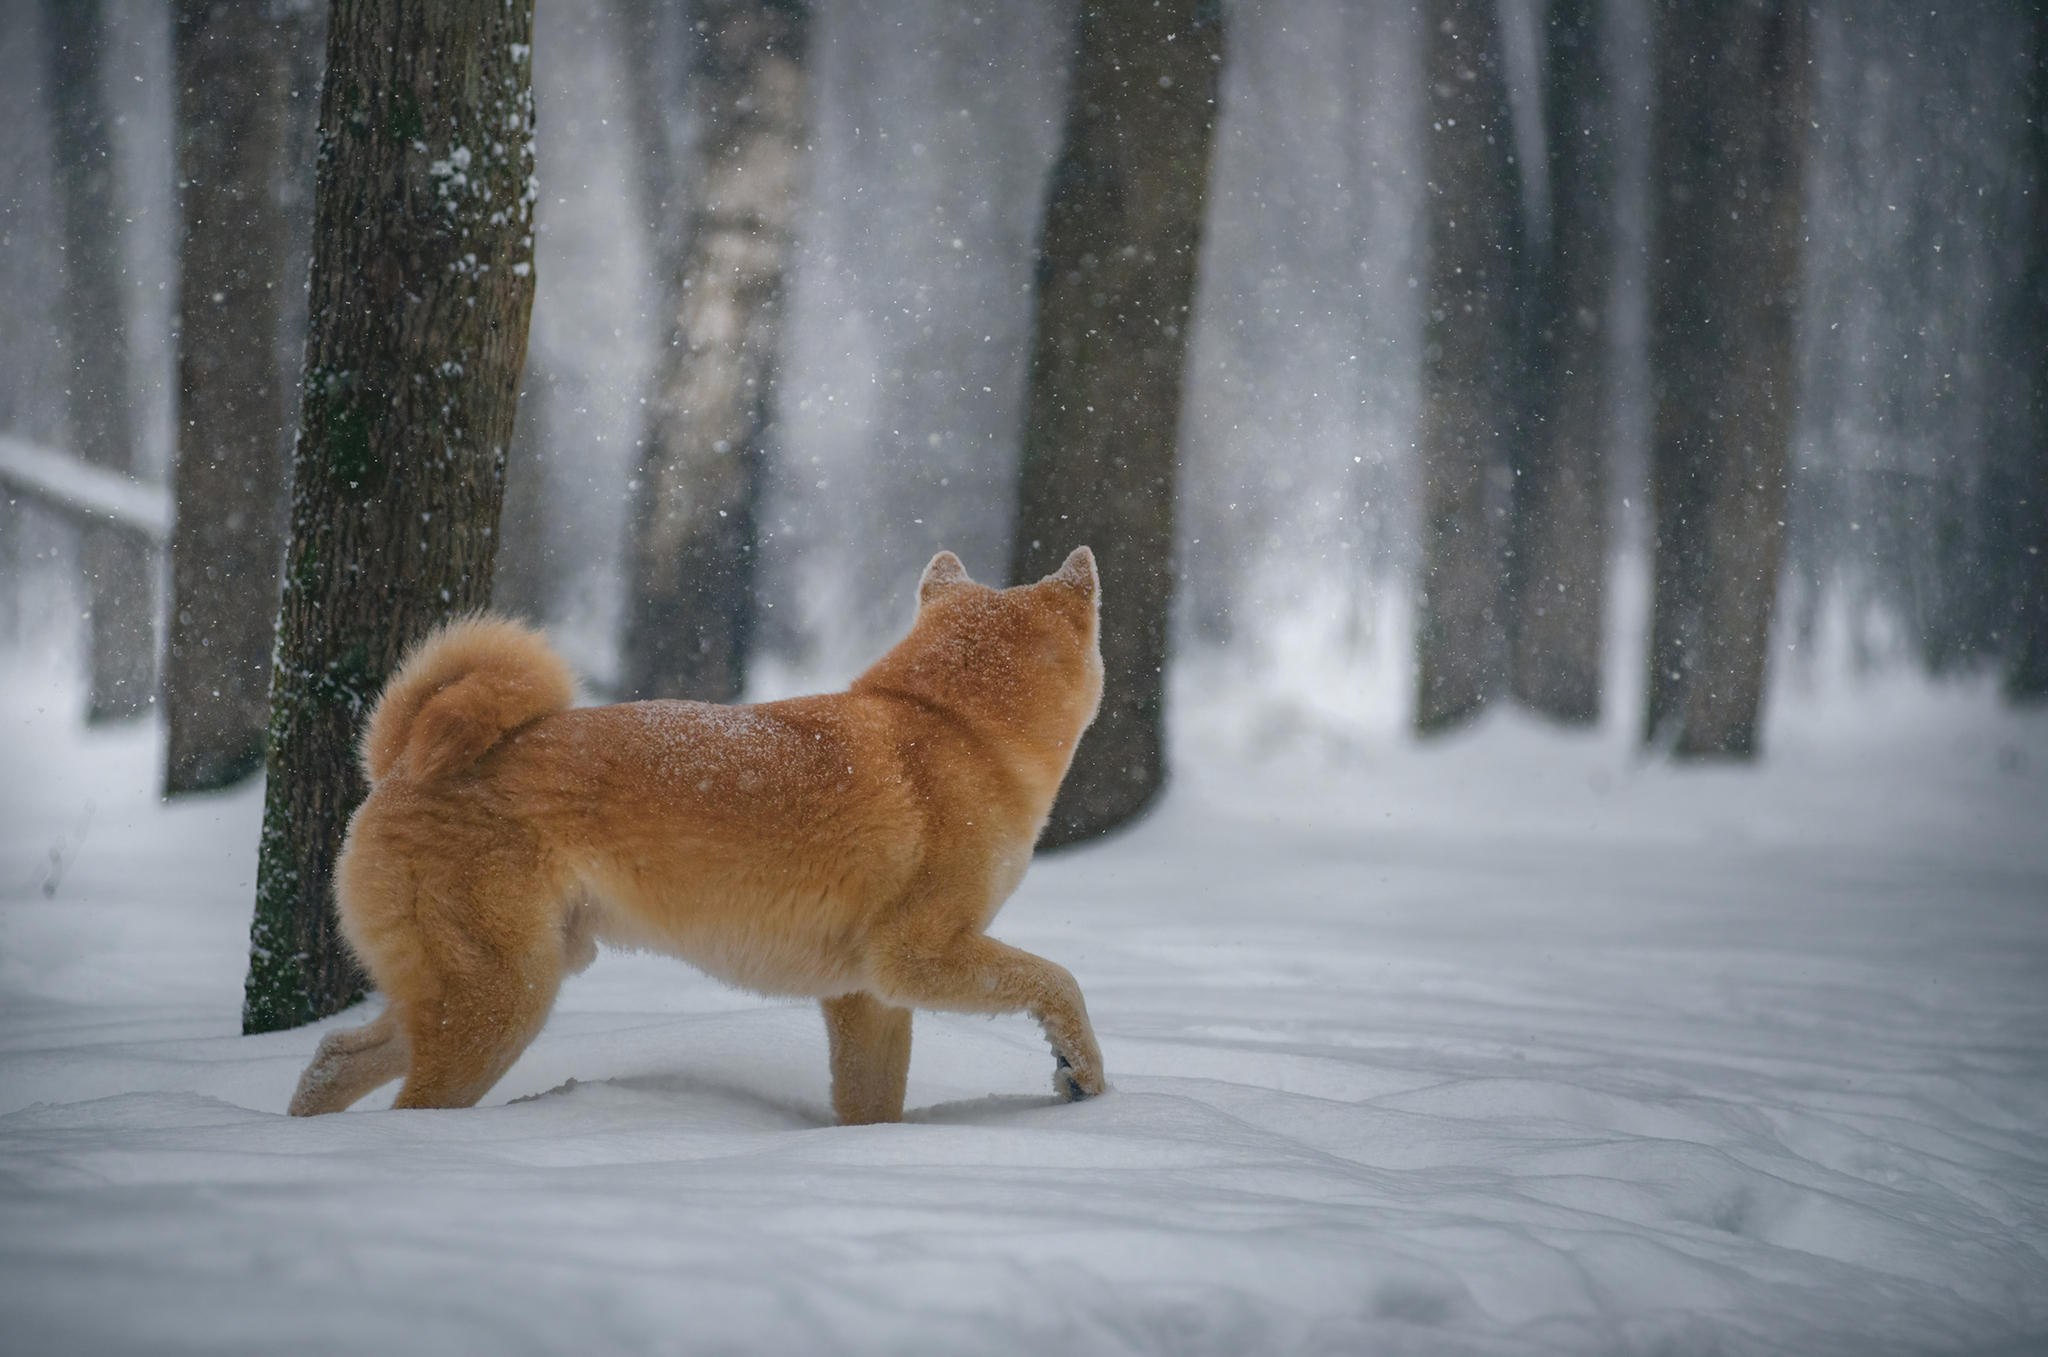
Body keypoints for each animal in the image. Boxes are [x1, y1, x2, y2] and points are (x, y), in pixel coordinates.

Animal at [288, 544, 1105, 1121]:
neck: (954, 724)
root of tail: (397, 763)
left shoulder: (865, 996)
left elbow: (872, 1106)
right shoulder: (916, 958)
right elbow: (1058, 980)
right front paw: (1084, 1075)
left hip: (476, 987)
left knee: (334, 1055)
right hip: (502, 1001)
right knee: (409, 1103)